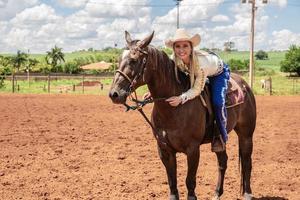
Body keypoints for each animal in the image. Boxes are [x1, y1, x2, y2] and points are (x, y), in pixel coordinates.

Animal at [109, 31, 256, 200]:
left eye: (133, 60)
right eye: (119, 59)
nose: (114, 94)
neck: (172, 111)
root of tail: (245, 86)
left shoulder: (193, 149)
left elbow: (189, 181)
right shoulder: (164, 150)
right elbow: (172, 181)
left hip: (246, 135)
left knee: (247, 162)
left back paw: (247, 193)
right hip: (220, 140)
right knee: (222, 162)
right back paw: (217, 193)